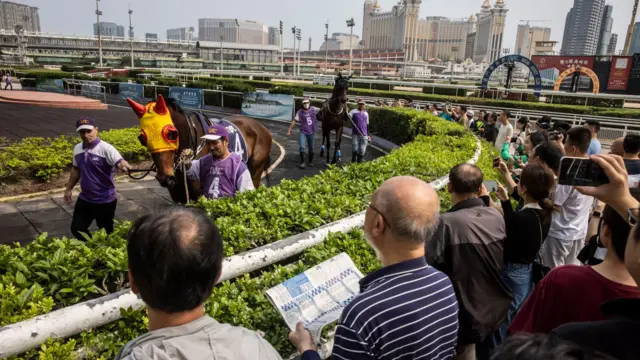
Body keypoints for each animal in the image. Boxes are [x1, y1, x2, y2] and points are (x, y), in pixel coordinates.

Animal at [127, 94, 272, 204]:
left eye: (171, 134)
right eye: (142, 138)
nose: (165, 178)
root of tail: (262, 127)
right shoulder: (179, 197)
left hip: (255, 169)